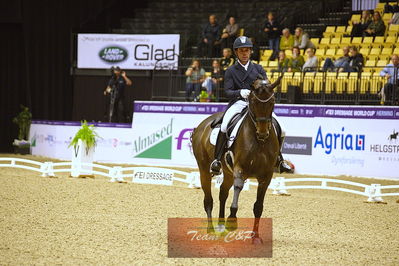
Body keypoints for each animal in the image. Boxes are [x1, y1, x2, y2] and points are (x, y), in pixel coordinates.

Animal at [191, 76, 282, 243]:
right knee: (208, 200)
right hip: (204, 170)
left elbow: (258, 207)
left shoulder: (266, 176)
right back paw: (211, 230)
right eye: (253, 102)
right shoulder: (240, 169)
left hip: (227, 172)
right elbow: (238, 189)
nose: (262, 133)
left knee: (222, 193)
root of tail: (201, 125)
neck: (259, 142)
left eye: (272, 102)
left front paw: (255, 237)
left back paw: (221, 227)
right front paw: (232, 222)